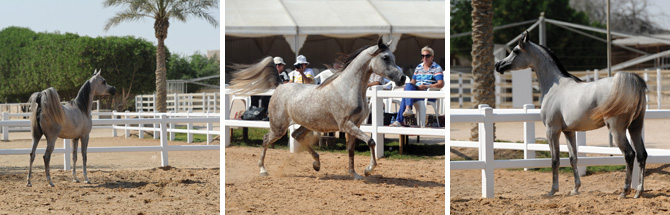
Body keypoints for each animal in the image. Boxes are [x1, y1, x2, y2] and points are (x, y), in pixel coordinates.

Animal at [228, 37, 406, 180]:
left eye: (394, 57)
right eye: (385, 57)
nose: (402, 78)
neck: (347, 88)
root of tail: (279, 86)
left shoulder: (355, 125)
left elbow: (351, 150)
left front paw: (354, 174)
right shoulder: (347, 125)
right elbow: (371, 141)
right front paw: (368, 170)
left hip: (306, 124)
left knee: (295, 135)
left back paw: (317, 163)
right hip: (279, 127)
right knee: (266, 139)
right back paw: (263, 170)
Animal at [496, 31, 648, 198]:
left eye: (515, 51)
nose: (499, 65)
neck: (555, 87)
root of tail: (634, 84)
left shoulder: (552, 130)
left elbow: (555, 160)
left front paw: (552, 190)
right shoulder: (569, 131)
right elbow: (573, 158)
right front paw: (575, 189)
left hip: (617, 130)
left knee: (629, 154)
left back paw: (624, 191)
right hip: (635, 127)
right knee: (642, 155)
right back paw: (638, 191)